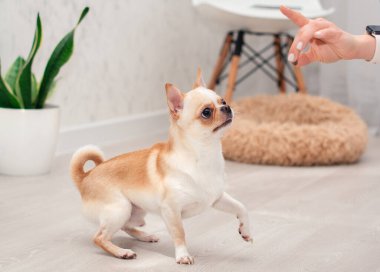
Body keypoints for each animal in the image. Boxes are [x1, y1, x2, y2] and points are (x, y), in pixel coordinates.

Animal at [70, 69, 252, 264]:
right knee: (99, 237)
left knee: (125, 227)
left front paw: (245, 230)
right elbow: (179, 233)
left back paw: (145, 236)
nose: (227, 107)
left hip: (135, 213)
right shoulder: (171, 210)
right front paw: (183, 255)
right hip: (120, 208)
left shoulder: (217, 198)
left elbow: (241, 207)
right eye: (206, 112)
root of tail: (85, 177)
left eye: (223, 101)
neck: (204, 156)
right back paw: (122, 252)